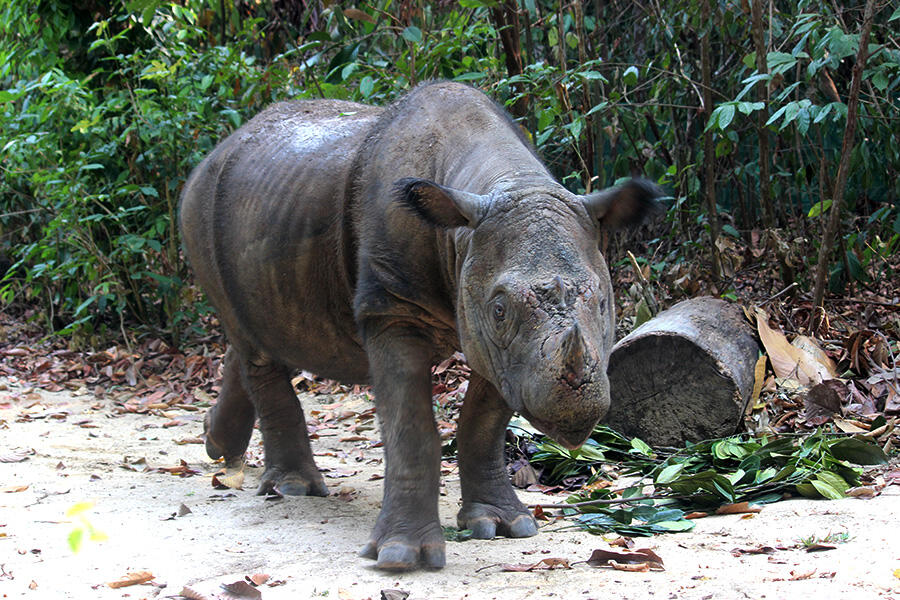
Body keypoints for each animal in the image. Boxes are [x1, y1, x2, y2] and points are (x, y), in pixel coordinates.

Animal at [181, 81, 660, 572]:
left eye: (603, 303)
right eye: (500, 309)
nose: (575, 411)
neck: (503, 186)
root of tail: (217, 149)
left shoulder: (496, 344)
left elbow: (484, 423)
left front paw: (503, 526)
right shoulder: (394, 308)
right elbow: (411, 427)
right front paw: (402, 556)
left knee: (266, 334)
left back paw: (218, 446)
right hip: (199, 207)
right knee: (254, 343)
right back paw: (291, 488)